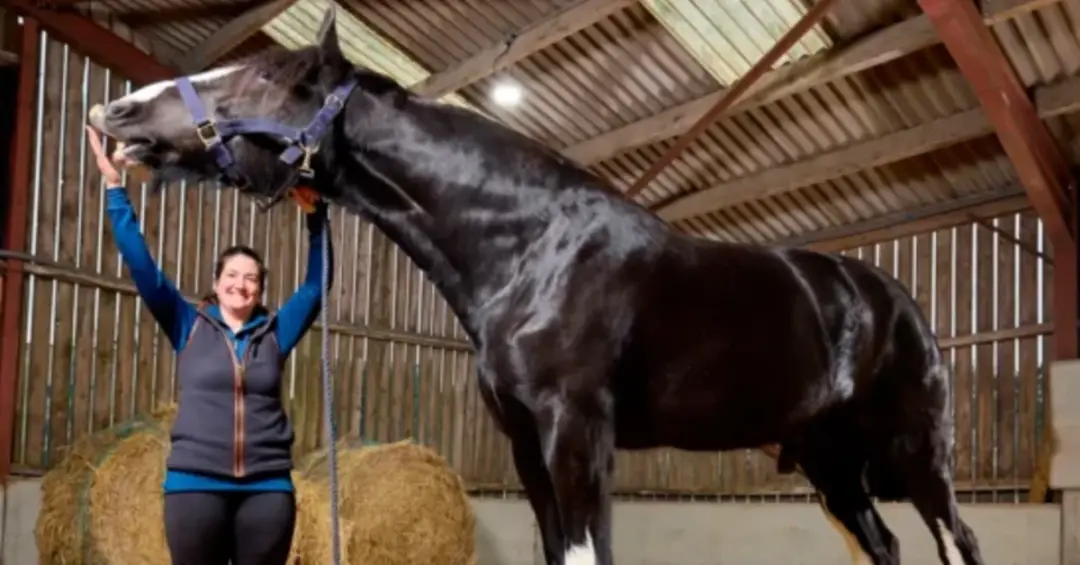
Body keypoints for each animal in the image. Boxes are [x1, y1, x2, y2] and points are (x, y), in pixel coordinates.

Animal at [87, 7, 985, 565]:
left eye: (267, 79)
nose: (116, 114)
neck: (530, 248)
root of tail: (892, 299)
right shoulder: (526, 444)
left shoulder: (575, 432)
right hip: (833, 465)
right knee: (888, 545)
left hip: (918, 453)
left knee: (956, 540)